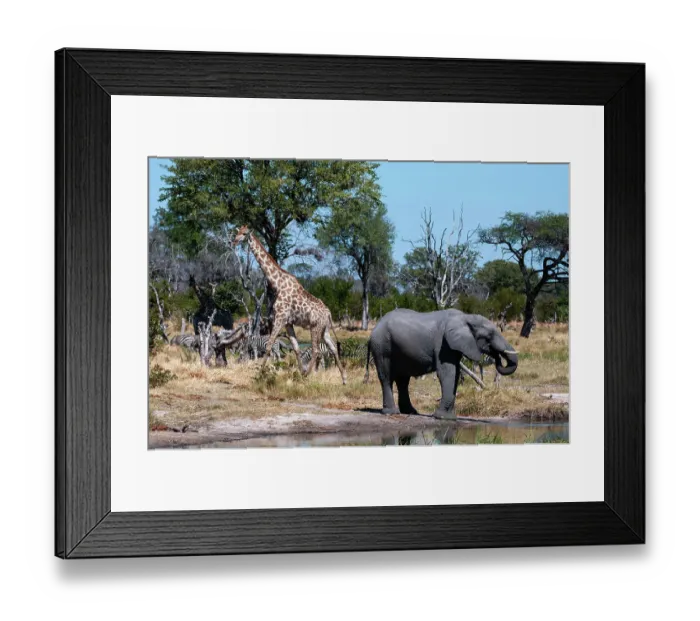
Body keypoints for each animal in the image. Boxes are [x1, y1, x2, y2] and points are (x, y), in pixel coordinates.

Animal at [233, 226, 347, 384]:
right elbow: (296, 347)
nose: (234, 241)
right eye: (237, 231)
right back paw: (344, 379)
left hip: (315, 327)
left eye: (244, 234)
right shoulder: (288, 322)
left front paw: (259, 374)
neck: (278, 283)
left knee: (317, 350)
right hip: (325, 329)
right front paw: (300, 371)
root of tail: (328, 313)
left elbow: (269, 345)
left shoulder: (280, 318)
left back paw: (308, 375)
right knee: (333, 349)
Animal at [367, 309, 519, 419]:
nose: (497, 356)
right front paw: (441, 417)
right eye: (489, 336)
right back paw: (391, 412)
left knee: (403, 380)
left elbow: (456, 374)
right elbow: (448, 373)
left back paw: (410, 412)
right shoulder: (443, 344)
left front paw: (449, 417)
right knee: (386, 377)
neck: (466, 318)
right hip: (382, 346)